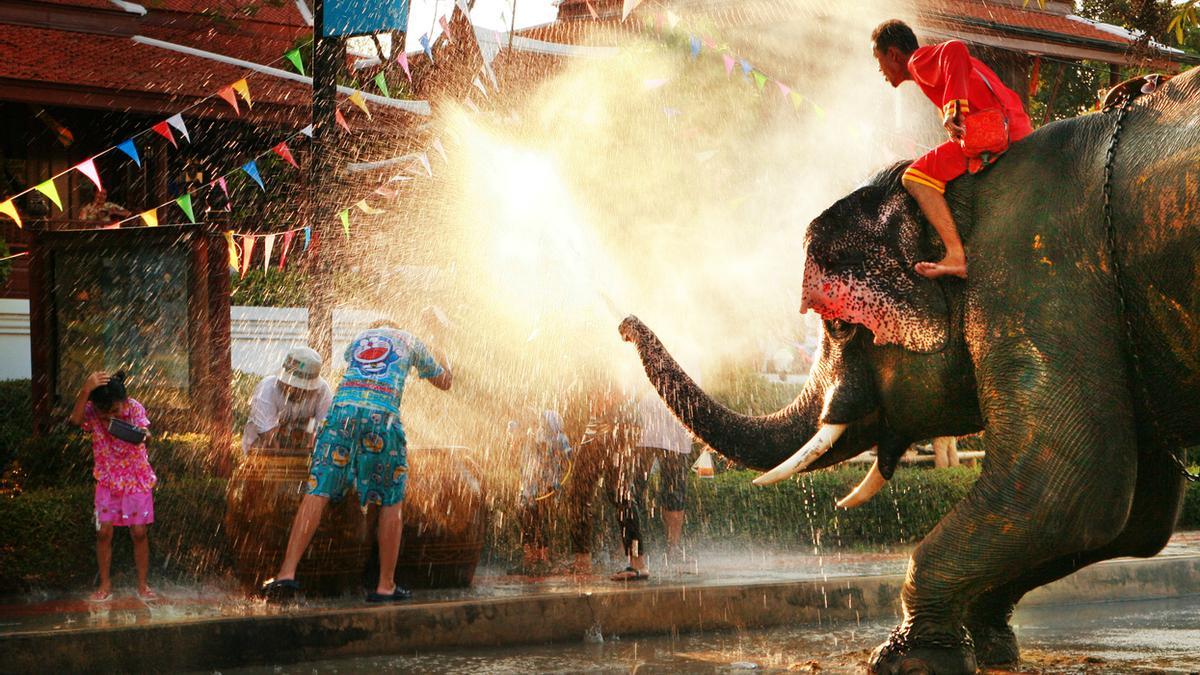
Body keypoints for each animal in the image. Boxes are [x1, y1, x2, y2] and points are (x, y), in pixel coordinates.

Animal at [619, 66, 1200, 667]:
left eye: (840, 327)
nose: (622, 322)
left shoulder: (1039, 277)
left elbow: (1069, 491)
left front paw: (909, 660)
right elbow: (1137, 516)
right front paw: (989, 646)